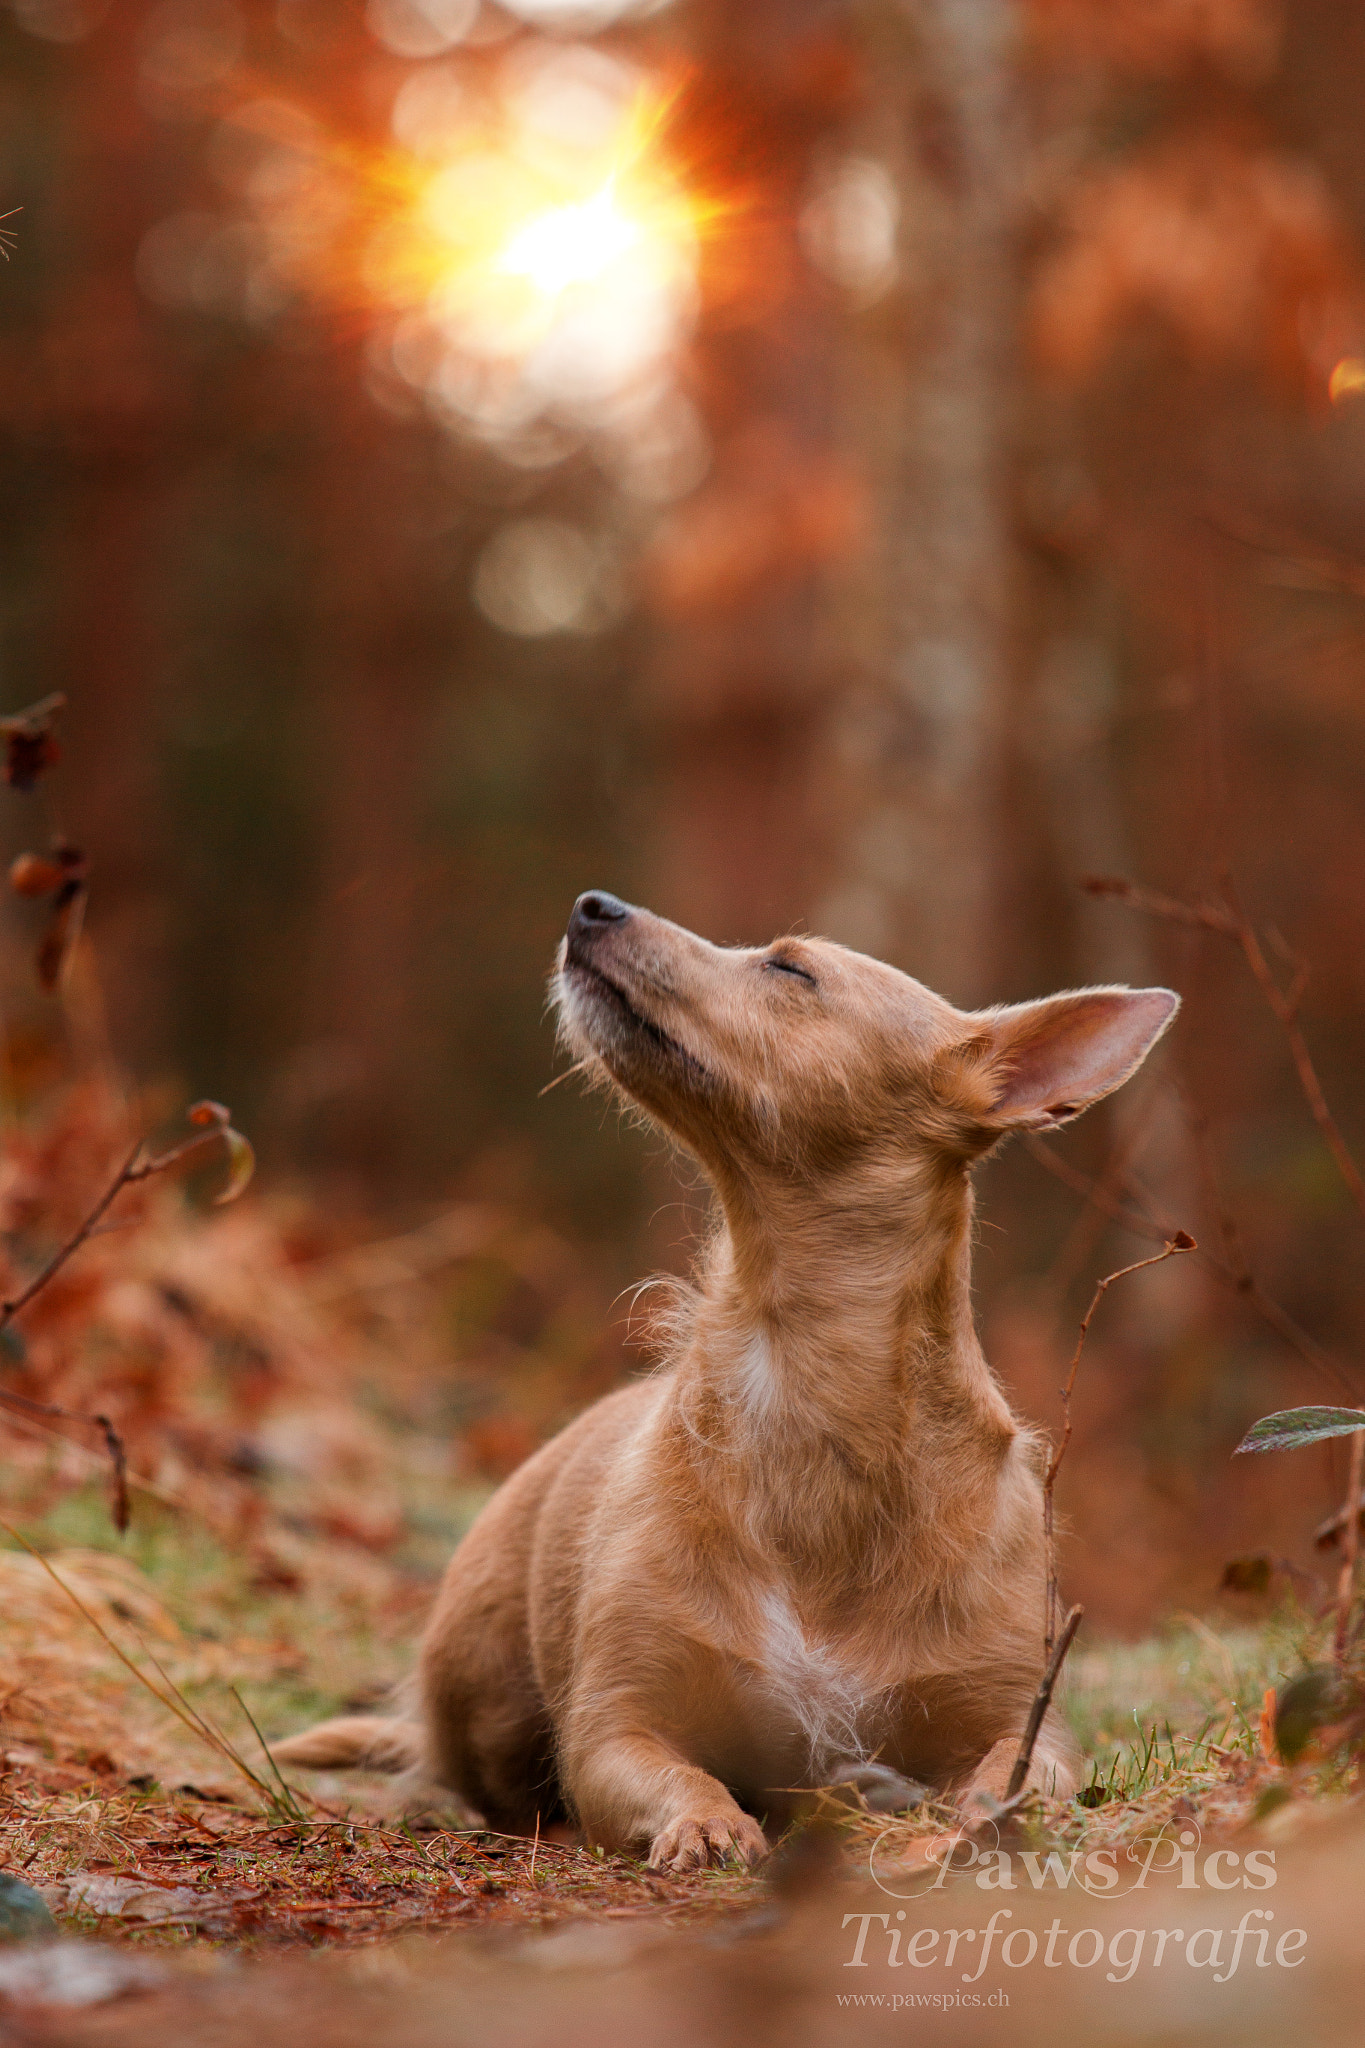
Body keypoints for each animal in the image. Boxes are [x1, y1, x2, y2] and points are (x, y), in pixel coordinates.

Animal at [278, 888, 1178, 1867]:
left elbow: (1013, 1777)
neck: (806, 1393)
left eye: (790, 969)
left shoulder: (1025, 1719)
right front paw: (709, 1826)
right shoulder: (616, 1724)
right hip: (484, 1685)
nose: (592, 904)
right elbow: (672, 1774)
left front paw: (958, 1822)